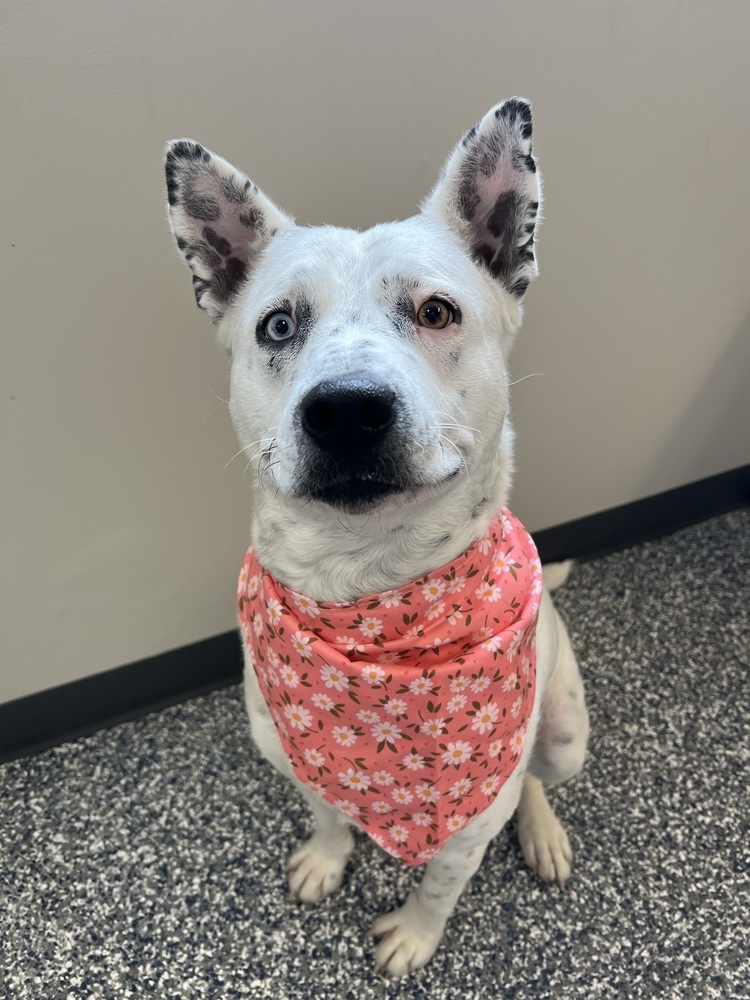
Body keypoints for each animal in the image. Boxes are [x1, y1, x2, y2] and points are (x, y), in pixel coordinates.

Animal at [167, 101, 592, 976]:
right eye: (278, 325)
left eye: (436, 311)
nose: (345, 408)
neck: (370, 583)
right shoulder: (294, 753)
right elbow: (329, 813)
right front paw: (329, 859)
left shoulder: (468, 820)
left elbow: (439, 884)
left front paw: (413, 937)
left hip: (565, 731)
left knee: (534, 777)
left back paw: (541, 832)